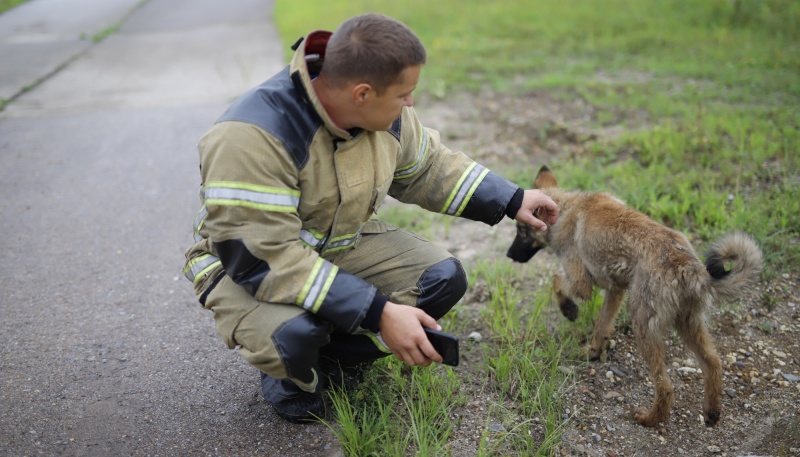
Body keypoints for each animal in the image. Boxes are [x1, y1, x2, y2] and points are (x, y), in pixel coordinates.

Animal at [506, 165, 764, 428]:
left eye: (522, 232)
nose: (509, 255)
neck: (567, 207)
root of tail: (688, 267)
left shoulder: (582, 284)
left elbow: (557, 281)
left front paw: (569, 310)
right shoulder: (616, 290)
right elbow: (601, 326)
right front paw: (593, 352)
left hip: (644, 327)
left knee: (666, 386)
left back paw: (650, 419)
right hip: (689, 325)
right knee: (712, 363)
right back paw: (711, 412)